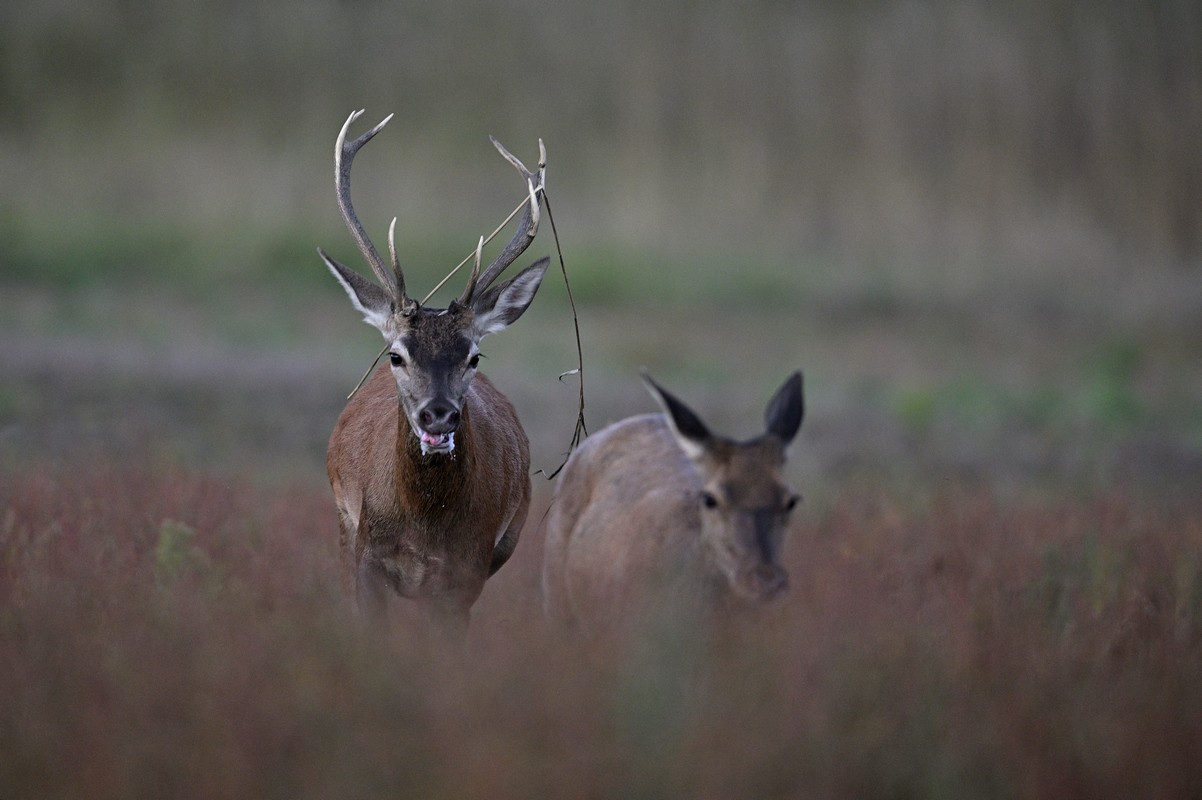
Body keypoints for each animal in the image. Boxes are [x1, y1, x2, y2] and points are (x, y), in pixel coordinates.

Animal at [317, 112, 548, 634]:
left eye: (474, 356)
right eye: (395, 355)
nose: (438, 415)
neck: (423, 529)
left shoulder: (465, 574)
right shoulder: (368, 554)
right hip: (342, 526)